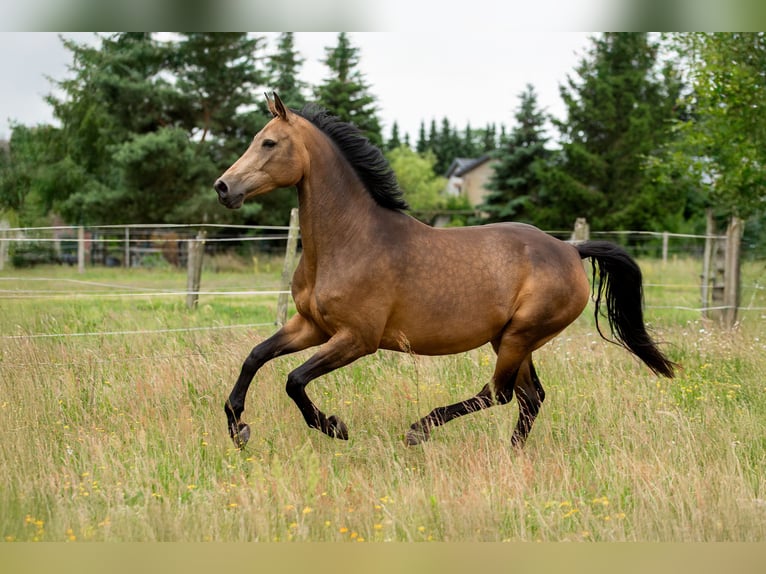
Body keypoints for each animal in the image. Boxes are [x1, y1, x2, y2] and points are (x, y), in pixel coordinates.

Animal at [213, 92, 676, 449]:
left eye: (269, 143)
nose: (223, 187)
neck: (349, 241)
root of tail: (570, 249)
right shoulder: (311, 326)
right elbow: (255, 357)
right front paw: (239, 429)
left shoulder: (357, 339)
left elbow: (294, 380)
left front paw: (335, 427)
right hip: (512, 339)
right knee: (531, 397)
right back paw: (512, 454)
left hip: (520, 336)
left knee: (500, 393)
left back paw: (420, 430)